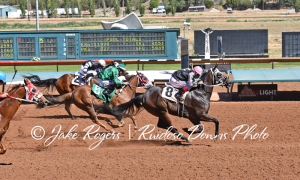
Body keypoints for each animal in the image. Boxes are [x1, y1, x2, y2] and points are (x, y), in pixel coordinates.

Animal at [97, 64, 231, 142]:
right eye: (220, 74)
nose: (229, 82)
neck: (201, 93)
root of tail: (143, 95)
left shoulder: (194, 117)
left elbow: (202, 127)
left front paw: (188, 130)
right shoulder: (198, 115)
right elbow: (215, 121)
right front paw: (214, 137)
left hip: (160, 112)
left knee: (163, 125)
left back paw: (182, 136)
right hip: (162, 111)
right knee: (169, 126)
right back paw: (184, 137)